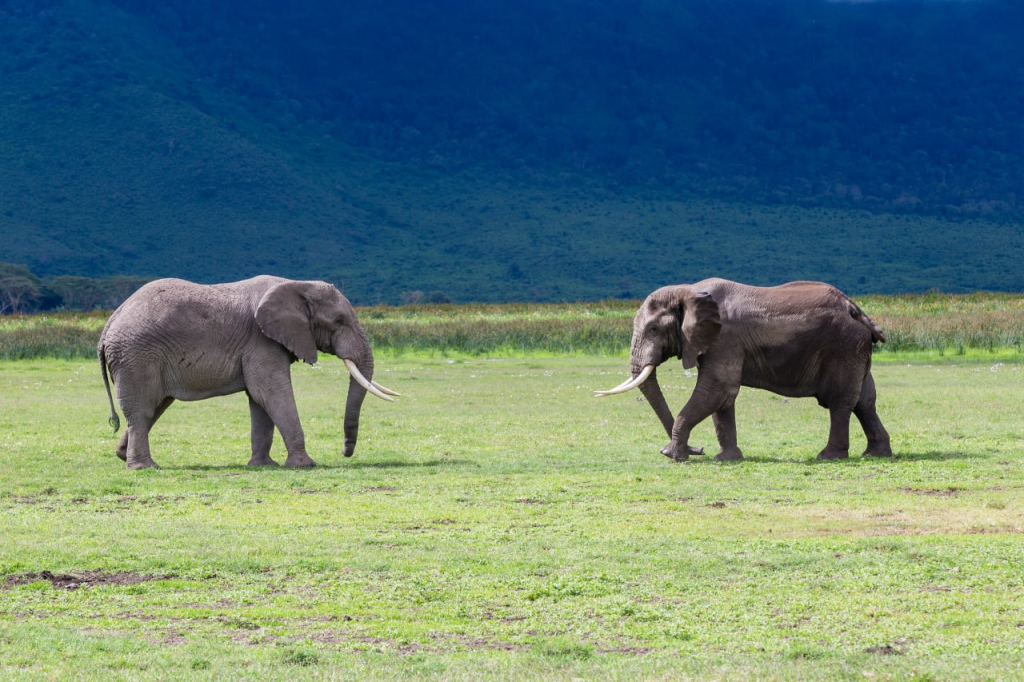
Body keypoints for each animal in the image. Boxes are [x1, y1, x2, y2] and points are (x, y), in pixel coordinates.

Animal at [97, 274, 397, 466]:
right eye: (339, 320)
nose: (345, 452)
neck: (297, 285)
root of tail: (108, 326)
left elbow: (259, 400)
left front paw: (263, 465)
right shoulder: (261, 341)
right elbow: (271, 392)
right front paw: (305, 465)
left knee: (154, 407)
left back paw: (123, 456)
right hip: (136, 357)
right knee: (143, 410)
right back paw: (144, 467)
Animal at [598, 278, 892, 462]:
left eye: (654, 329)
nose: (699, 449)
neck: (689, 291)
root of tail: (855, 308)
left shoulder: (724, 339)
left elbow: (717, 388)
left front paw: (672, 455)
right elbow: (722, 399)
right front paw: (726, 458)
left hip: (843, 347)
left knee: (841, 402)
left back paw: (828, 456)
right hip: (854, 348)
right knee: (865, 401)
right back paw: (876, 454)